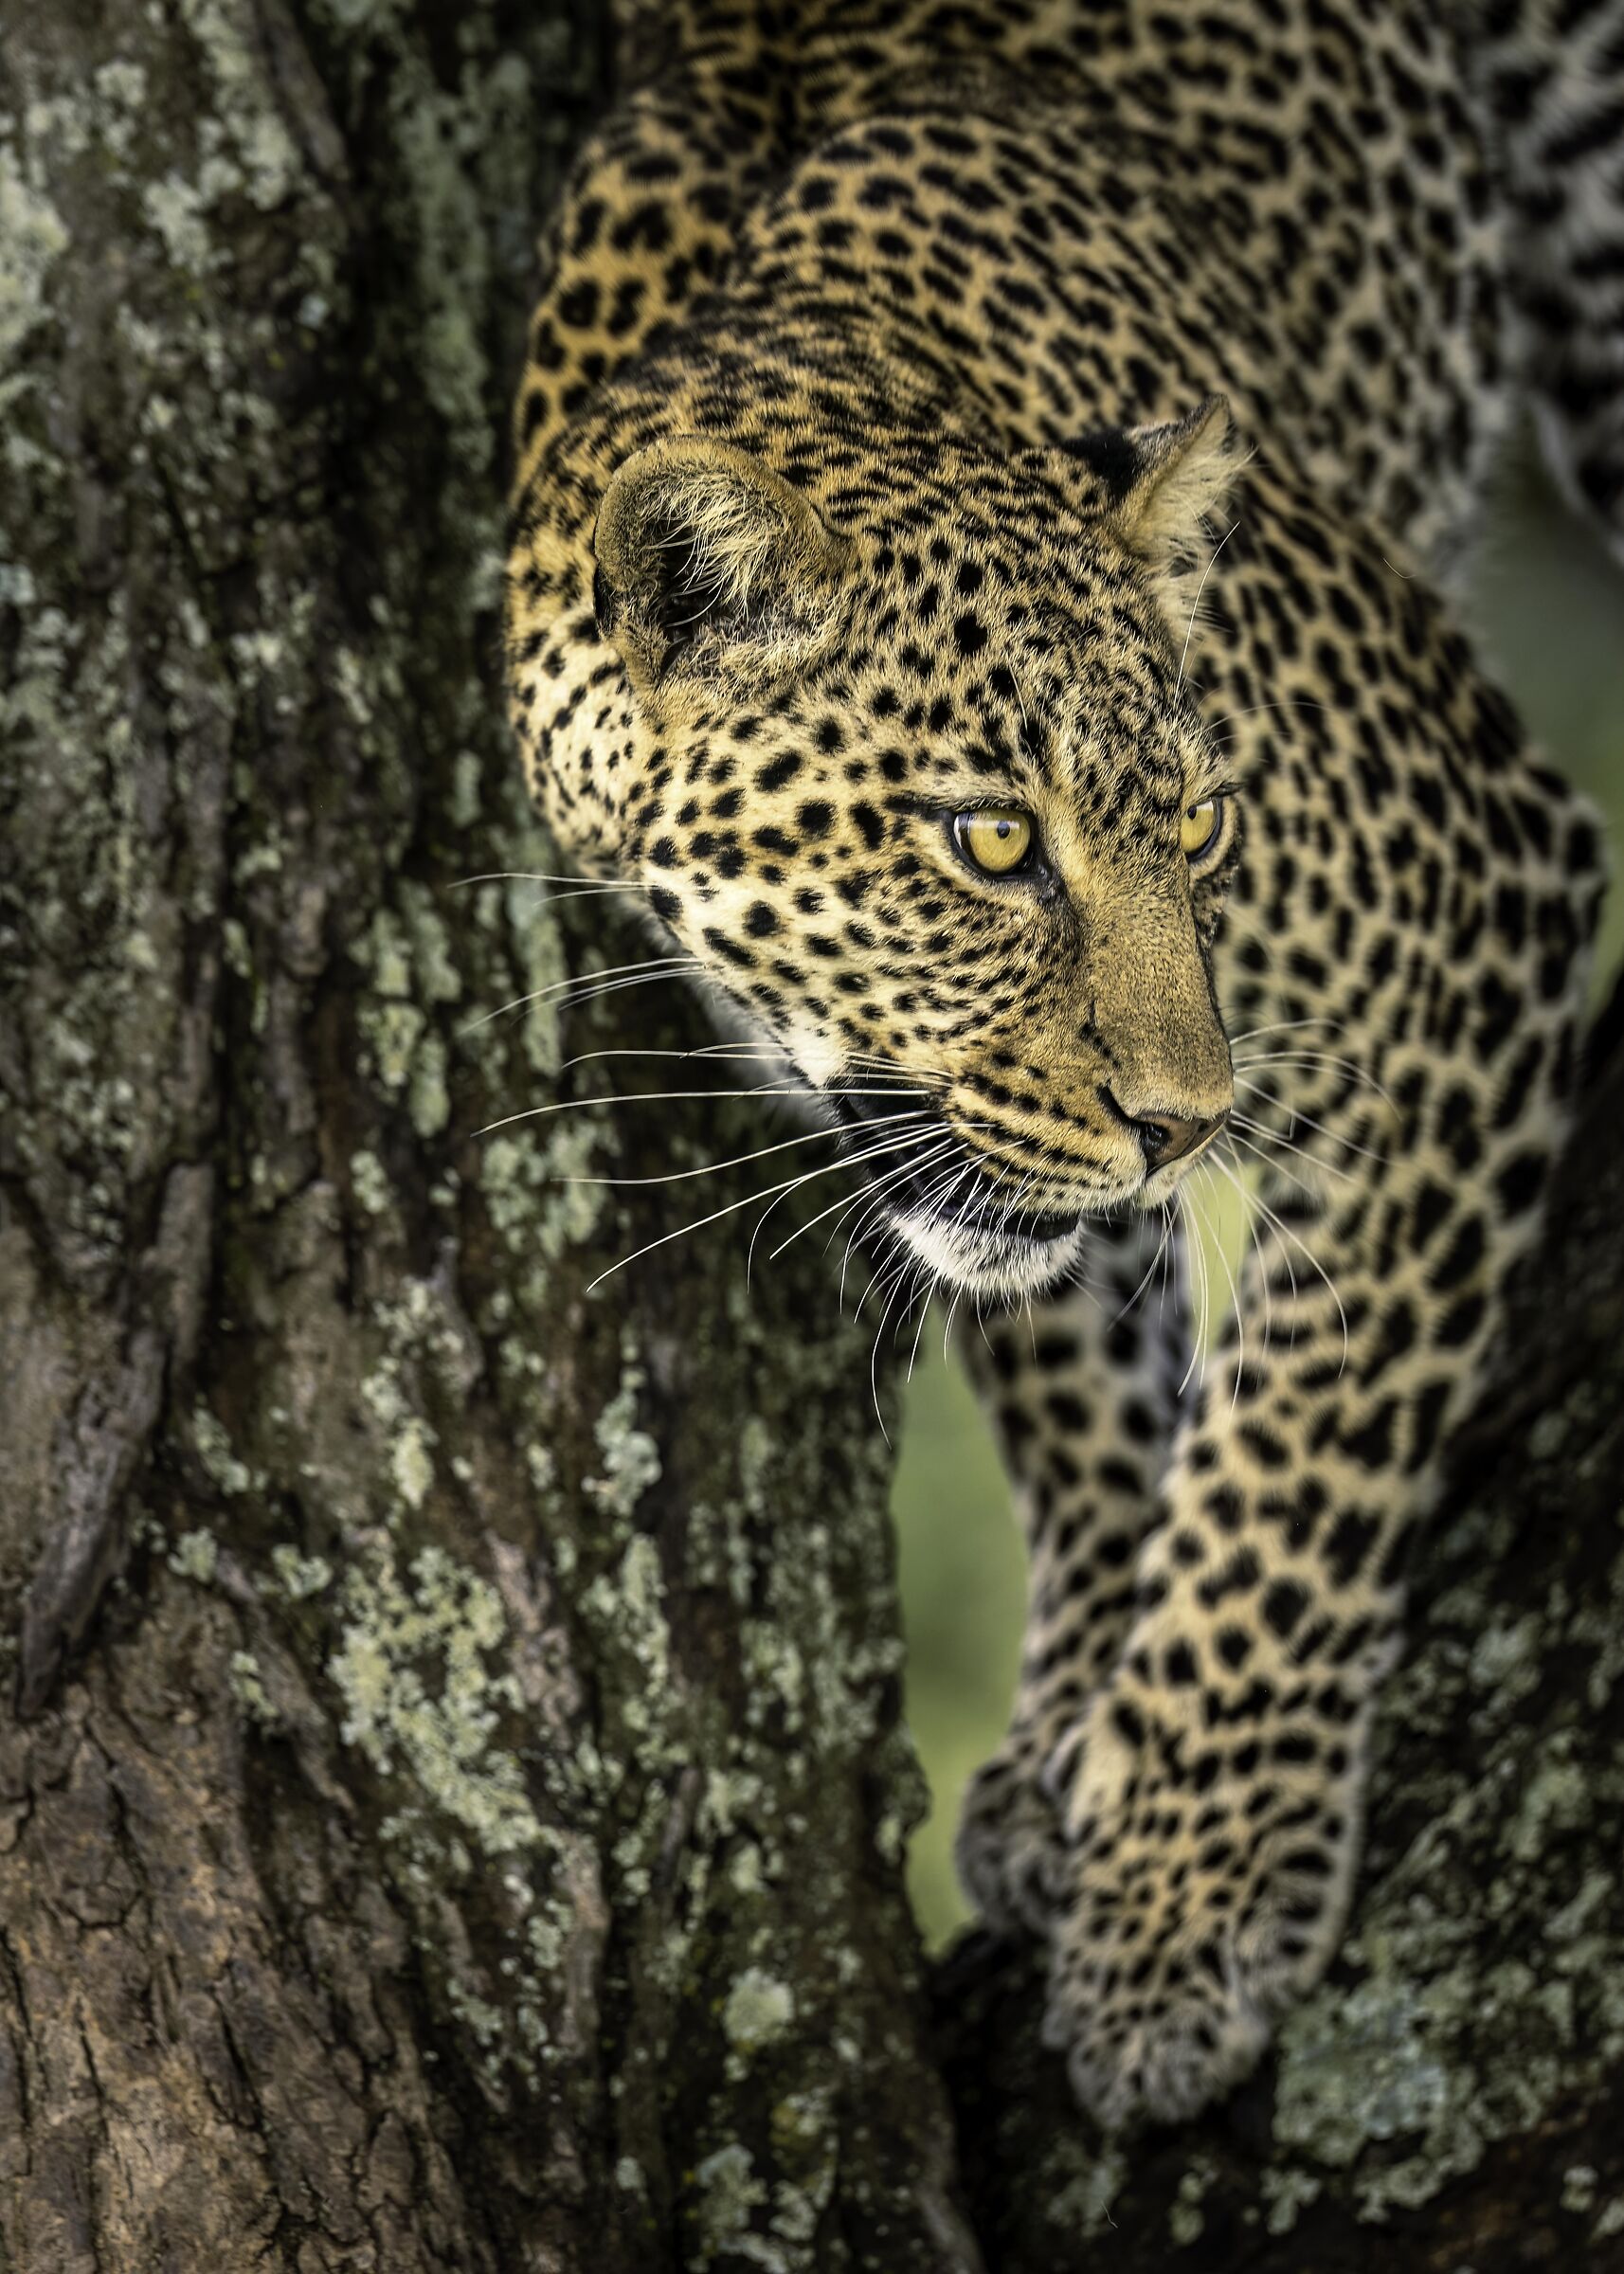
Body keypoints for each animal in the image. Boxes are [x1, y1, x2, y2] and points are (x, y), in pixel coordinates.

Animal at [503, 0, 1618, 2131]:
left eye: (1196, 819)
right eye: (988, 841)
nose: (1186, 1122)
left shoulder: (1466, 907)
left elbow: (1297, 1454)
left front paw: (1188, 1895)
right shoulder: (1004, 1151)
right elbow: (1084, 1362)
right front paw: (1081, 1715)